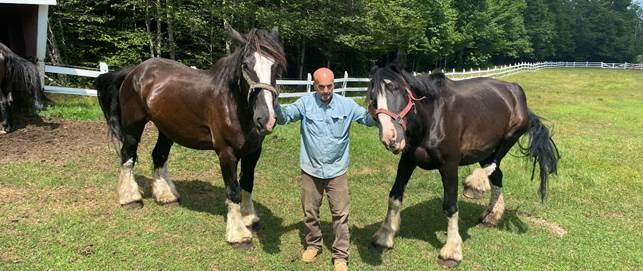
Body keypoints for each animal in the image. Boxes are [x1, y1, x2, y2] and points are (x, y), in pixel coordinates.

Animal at [94, 24, 286, 246]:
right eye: (246, 65)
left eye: (276, 66)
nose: (266, 119)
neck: (233, 104)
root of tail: (134, 71)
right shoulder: (226, 153)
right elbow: (234, 190)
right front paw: (238, 234)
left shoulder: (253, 151)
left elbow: (247, 184)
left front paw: (249, 219)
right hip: (134, 126)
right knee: (128, 156)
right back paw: (130, 198)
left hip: (167, 129)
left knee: (158, 155)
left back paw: (166, 195)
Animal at [368, 63, 560, 268]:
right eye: (372, 97)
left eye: (395, 88)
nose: (390, 138)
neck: (433, 118)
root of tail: (515, 91)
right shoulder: (407, 161)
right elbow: (394, 196)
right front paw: (385, 236)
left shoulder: (449, 165)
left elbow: (451, 206)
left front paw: (451, 251)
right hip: (484, 149)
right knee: (497, 175)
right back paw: (491, 216)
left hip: (507, 139)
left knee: (492, 167)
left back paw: (475, 188)